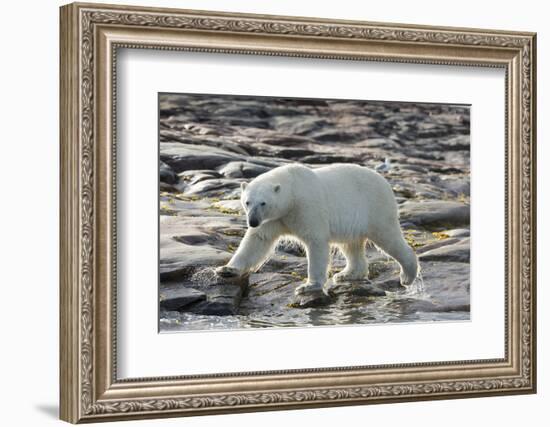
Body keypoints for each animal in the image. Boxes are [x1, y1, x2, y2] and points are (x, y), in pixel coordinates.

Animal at [216, 162, 418, 296]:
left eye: (263, 203)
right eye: (247, 202)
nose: (253, 221)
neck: (292, 191)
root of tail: (385, 183)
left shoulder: (306, 207)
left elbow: (316, 242)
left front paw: (308, 286)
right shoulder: (275, 219)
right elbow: (257, 241)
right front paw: (226, 269)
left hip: (375, 208)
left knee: (388, 237)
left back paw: (407, 276)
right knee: (350, 244)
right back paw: (347, 274)